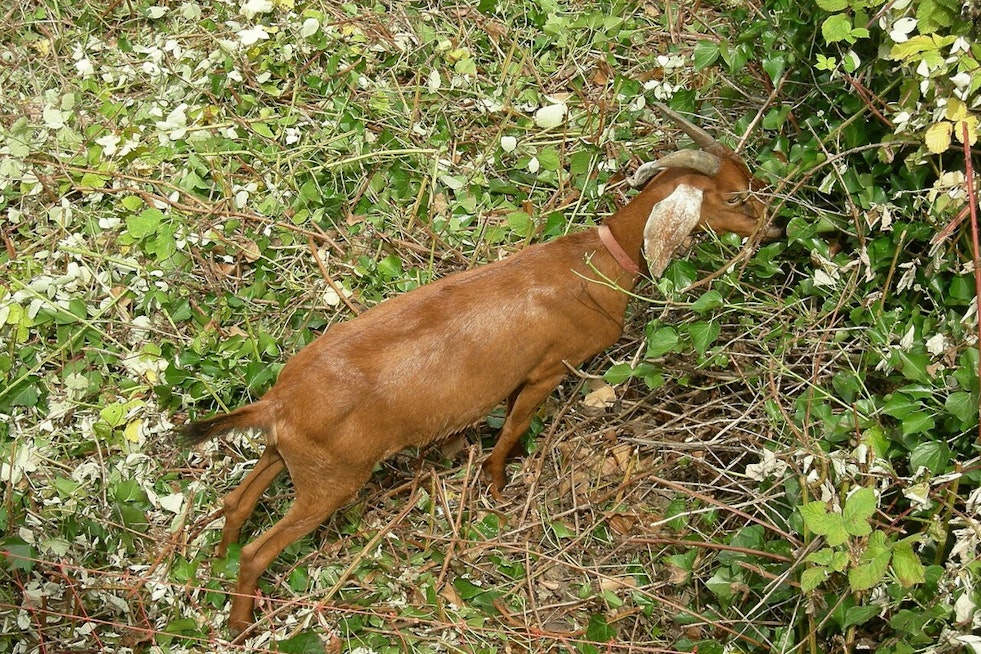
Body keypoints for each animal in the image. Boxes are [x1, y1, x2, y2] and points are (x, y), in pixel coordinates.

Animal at [177, 103, 777, 634]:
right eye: (734, 195)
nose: (771, 229)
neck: (593, 263)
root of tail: (279, 401)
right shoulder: (549, 369)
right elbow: (512, 427)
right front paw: (495, 483)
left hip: (288, 455)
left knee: (236, 503)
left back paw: (215, 567)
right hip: (333, 481)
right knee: (259, 552)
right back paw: (239, 623)